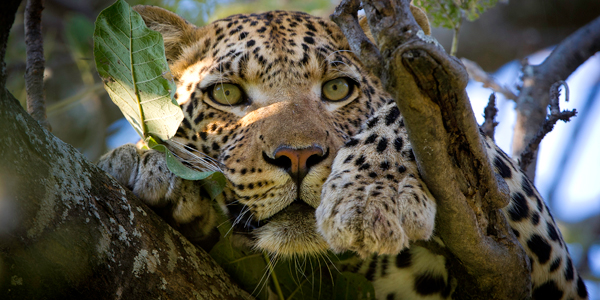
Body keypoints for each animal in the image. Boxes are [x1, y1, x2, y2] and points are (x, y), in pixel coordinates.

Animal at [99, 3, 592, 298]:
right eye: (226, 94)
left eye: (337, 89)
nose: (297, 158)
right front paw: (142, 160)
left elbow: (400, 113)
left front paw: (372, 196)